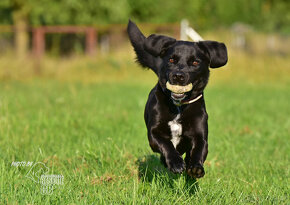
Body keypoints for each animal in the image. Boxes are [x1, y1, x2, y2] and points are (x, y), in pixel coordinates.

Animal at [128, 20, 228, 178]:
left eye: (195, 62)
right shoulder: (153, 134)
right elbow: (167, 144)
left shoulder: (200, 136)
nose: (178, 76)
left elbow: (198, 151)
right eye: (171, 59)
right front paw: (175, 163)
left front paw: (195, 167)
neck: (178, 107)